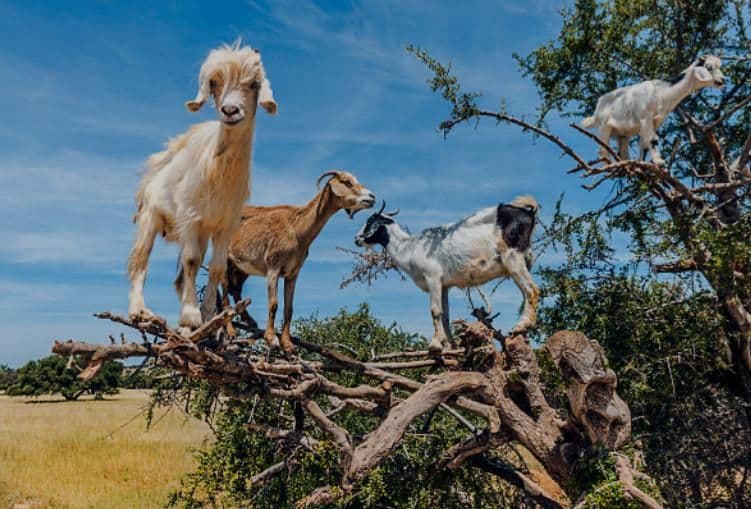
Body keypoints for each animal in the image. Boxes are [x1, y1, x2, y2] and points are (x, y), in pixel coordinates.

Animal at [128, 41, 277, 329]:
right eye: (214, 83)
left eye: (254, 84)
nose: (230, 111)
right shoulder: (190, 217)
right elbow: (191, 260)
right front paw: (190, 315)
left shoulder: (225, 225)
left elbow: (217, 268)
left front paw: (207, 316)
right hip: (150, 216)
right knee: (139, 262)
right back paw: (139, 312)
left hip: (202, 233)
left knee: (179, 278)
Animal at [224, 171, 375, 352]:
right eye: (347, 182)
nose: (371, 197)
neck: (297, 229)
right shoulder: (273, 267)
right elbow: (273, 304)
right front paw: (271, 339)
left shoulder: (293, 273)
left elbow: (289, 309)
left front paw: (287, 344)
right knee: (224, 290)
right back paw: (230, 331)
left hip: (241, 267)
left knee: (235, 289)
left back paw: (250, 322)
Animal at [355, 196, 539, 352]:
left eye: (370, 221)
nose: (357, 238)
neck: (409, 247)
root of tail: (528, 213)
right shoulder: (444, 285)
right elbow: (445, 315)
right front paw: (450, 345)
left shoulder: (432, 277)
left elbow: (435, 311)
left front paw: (435, 344)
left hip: (513, 257)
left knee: (531, 290)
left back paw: (522, 326)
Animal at [582, 55, 725, 165]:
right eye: (709, 67)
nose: (723, 80)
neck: (660, 92)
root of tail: (595, 113)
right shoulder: (645, 117)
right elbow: (652, 140)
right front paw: (659, 162)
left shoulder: (655, 121)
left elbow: (644, 143)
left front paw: (642, 163)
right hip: (604, 127)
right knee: (602, 149)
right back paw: (608, 164)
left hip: (623, 134)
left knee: (622, 150)